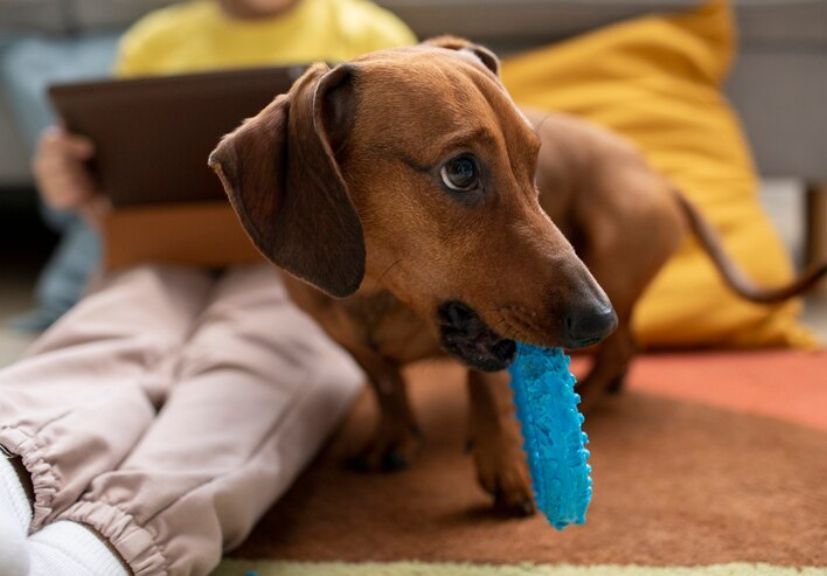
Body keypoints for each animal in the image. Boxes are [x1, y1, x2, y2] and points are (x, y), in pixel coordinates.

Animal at [212, 38, 827, 516]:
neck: (383, 295)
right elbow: (385, 382)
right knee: (626, 343)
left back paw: (595, 396)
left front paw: (504, 464)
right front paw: (394, 435)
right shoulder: (342, 336)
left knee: (625, 346)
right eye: (460, 171)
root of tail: (663, 179)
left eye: (535, 162)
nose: (596, 318)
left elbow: (484, 387)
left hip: (612, 243)